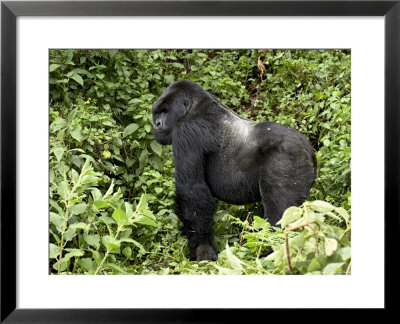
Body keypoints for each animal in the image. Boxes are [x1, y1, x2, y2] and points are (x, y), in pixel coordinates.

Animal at [152, 79, 318, 262]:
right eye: (157, 113)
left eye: (165, 112)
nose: (156, 123)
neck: (194, 107)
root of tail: (307, 149)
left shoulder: (186, 132)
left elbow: (192, 192)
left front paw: (203, 250)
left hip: (288, 160)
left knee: (279, 214)